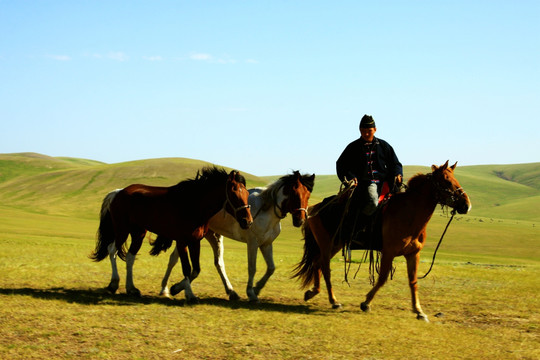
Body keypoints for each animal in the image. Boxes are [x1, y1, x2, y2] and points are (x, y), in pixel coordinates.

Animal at [90, 167, 253, 300]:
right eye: (234, 193)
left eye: (246, 192)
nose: (248, 221)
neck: (194, 204)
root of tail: (118, 192)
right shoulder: (182, 242)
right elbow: (186, 268)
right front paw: (189, 294)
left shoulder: (195, 241)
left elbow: (196, 269)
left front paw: (175, 288)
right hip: (122, 230)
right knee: (112, 250)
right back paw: (113, 284)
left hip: (138, 233)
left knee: (130, 256)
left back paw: (132, 288)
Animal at [152, 170, 314, 302]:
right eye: (296, 194)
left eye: (308, 195)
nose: (300, 220)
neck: (266, 210)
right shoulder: (253, 243)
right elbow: (252, 268)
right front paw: (251, 293)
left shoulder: (266, 244)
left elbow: (271, 268)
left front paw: (257, 288)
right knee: (175, 260)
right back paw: (166, 289)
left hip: (209, 236)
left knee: (215, 263)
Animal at [294, 161, 470, 320]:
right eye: (447, 181)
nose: (466, 205)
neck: (410, 214)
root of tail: (313, 209)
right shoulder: (389, 251)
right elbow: (382, 278)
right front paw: (365, 303)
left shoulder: (413, 253)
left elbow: (413, 281)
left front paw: (419, 311)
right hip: (327, 244)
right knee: (325, 268)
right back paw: (333, 301)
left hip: (335, 245)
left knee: (317, 263)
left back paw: (312, 293)